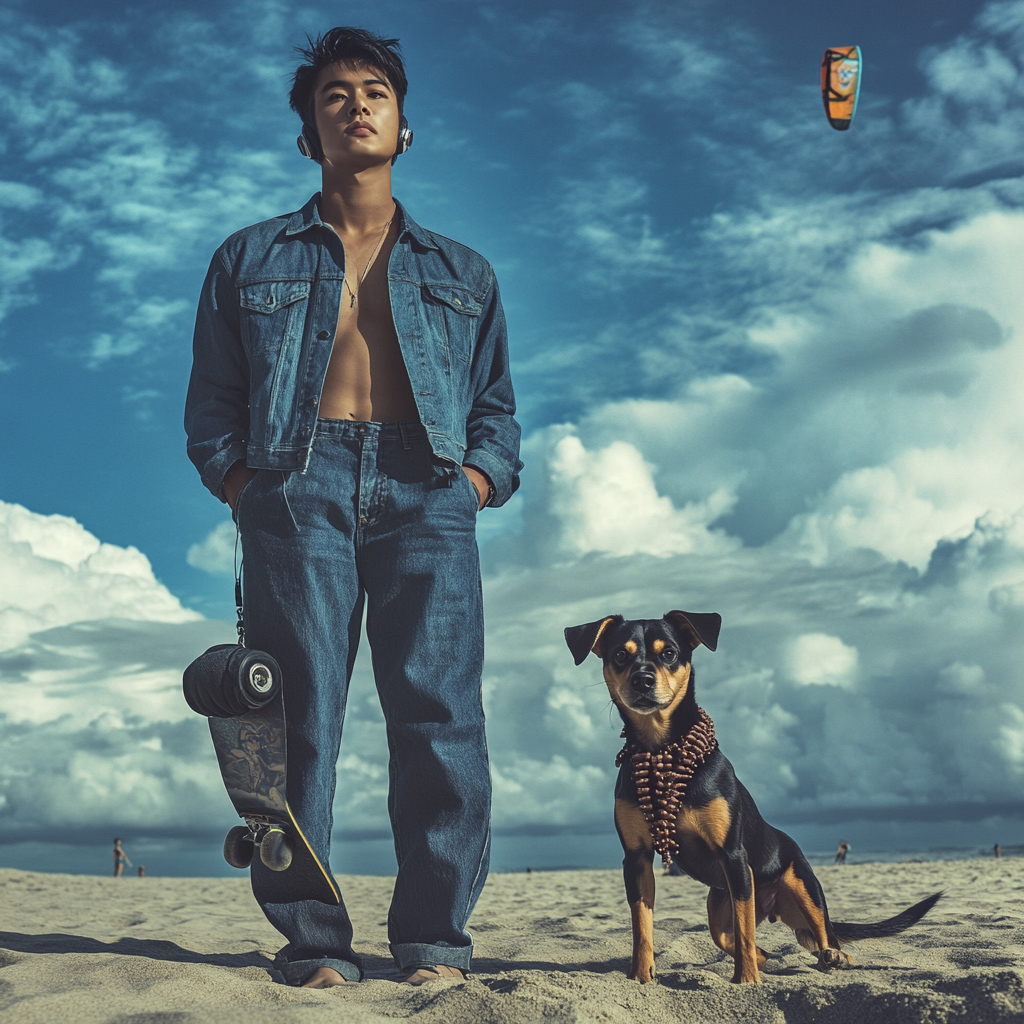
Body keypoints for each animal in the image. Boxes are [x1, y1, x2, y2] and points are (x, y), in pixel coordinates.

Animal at [565, 606, 937, 983]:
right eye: (619, 656)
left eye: (668, 653)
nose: (642, 680)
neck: (661, 750)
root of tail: (771, 905)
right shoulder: (637, 859)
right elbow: (642, 926)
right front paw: (641, 977)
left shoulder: (732, 855)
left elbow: (744, 932)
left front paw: (745, 982)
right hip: (719, 908)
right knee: (749, 943)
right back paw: (769, 958)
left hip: (801, 888)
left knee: (823, 935)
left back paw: (834, 958)